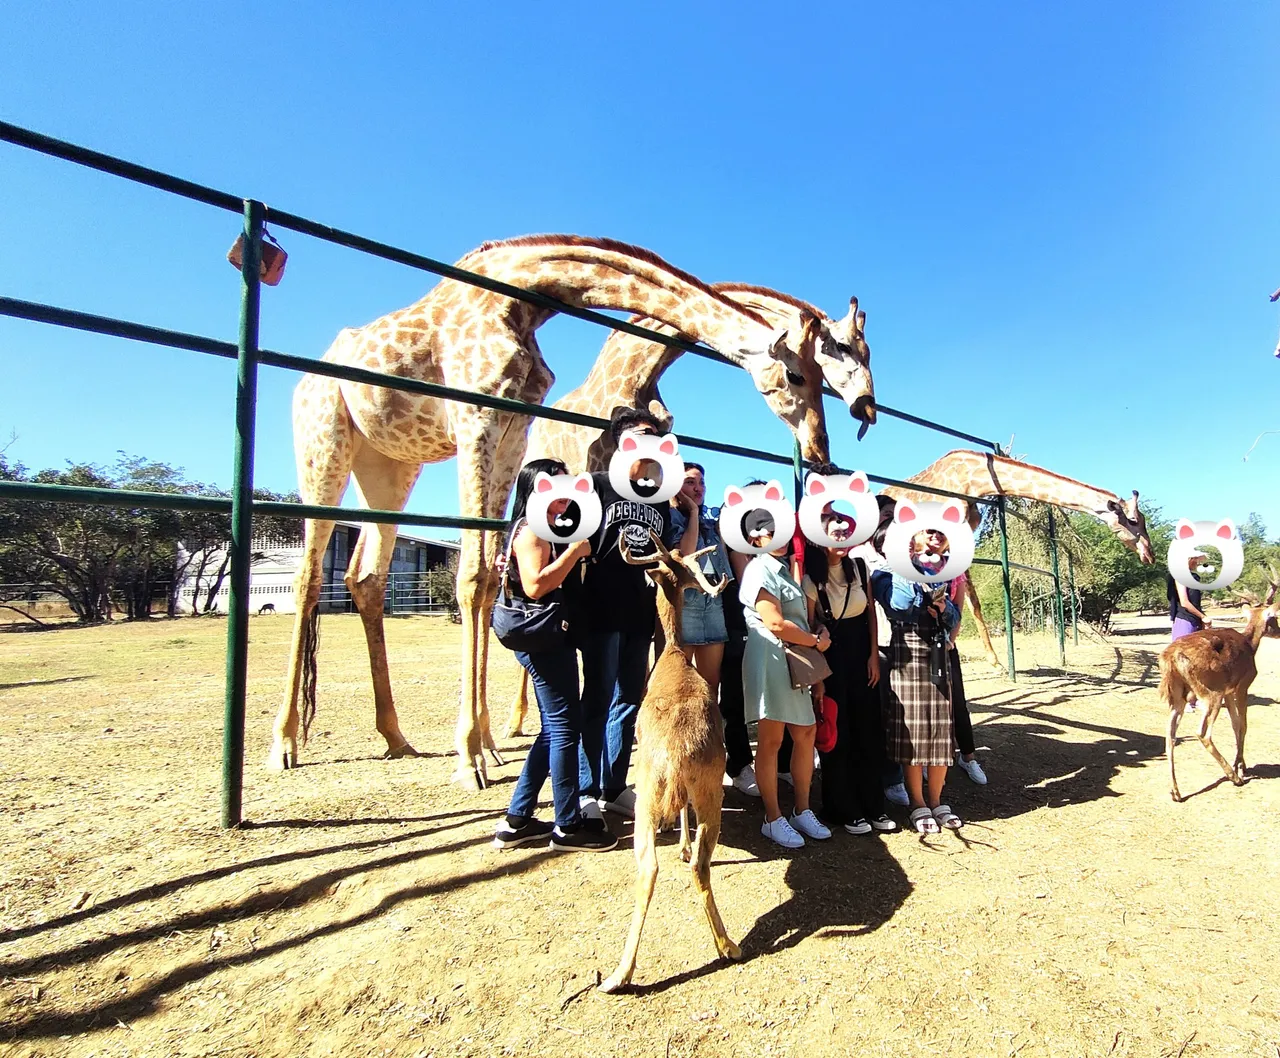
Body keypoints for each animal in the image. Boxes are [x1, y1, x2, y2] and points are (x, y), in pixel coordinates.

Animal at [271, 235, 855, 788]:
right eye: (800, 376)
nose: (821, 450)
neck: (520, 297)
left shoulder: (510, 425)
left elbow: (490, 578)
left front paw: (482, 741)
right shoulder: (476, 415)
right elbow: (473, 575)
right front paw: (470, 755)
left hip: (389, 465)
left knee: (366, 576)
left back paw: (398, 736)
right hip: (324, 441)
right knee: (308, 574)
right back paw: (286, 743)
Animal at [599, 534, 742, 997]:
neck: (674, 656)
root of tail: (676, 752)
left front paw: (680, 846)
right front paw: (681, 845)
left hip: (659, 789)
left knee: (661, 866)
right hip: (693, 788)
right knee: (673, 864)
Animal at [880, 447, 1162, 665]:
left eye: (1144, 519)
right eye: (1134, 520)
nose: (1149, 554)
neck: (971, 480)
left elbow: (970, 600)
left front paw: (994, 661)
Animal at [1162, 570, 1280, 803]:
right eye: (1274, 618)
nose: (1279, 632)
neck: (1250, 645)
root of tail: (1171, 657)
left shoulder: (1228, 691)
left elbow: (1235, 724)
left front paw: (1240, 762)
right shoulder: (1243, 685)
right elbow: (1243, 725)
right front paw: (1241, 766)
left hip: (1179, 695)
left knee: (1169, 734)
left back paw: (1175, 792)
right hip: (1209, 692)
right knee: (1202, 732)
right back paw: (1234, 777)